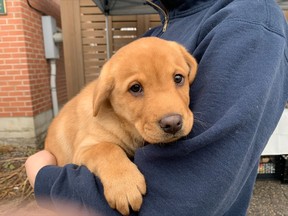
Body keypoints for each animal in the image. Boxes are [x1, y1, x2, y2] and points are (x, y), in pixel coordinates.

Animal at [45, 36, 198, 214]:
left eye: (178, 78)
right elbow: (107, 148)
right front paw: (125, 185)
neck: (124, 123)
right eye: (135, 88)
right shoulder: (84, 148)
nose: (172, 123)